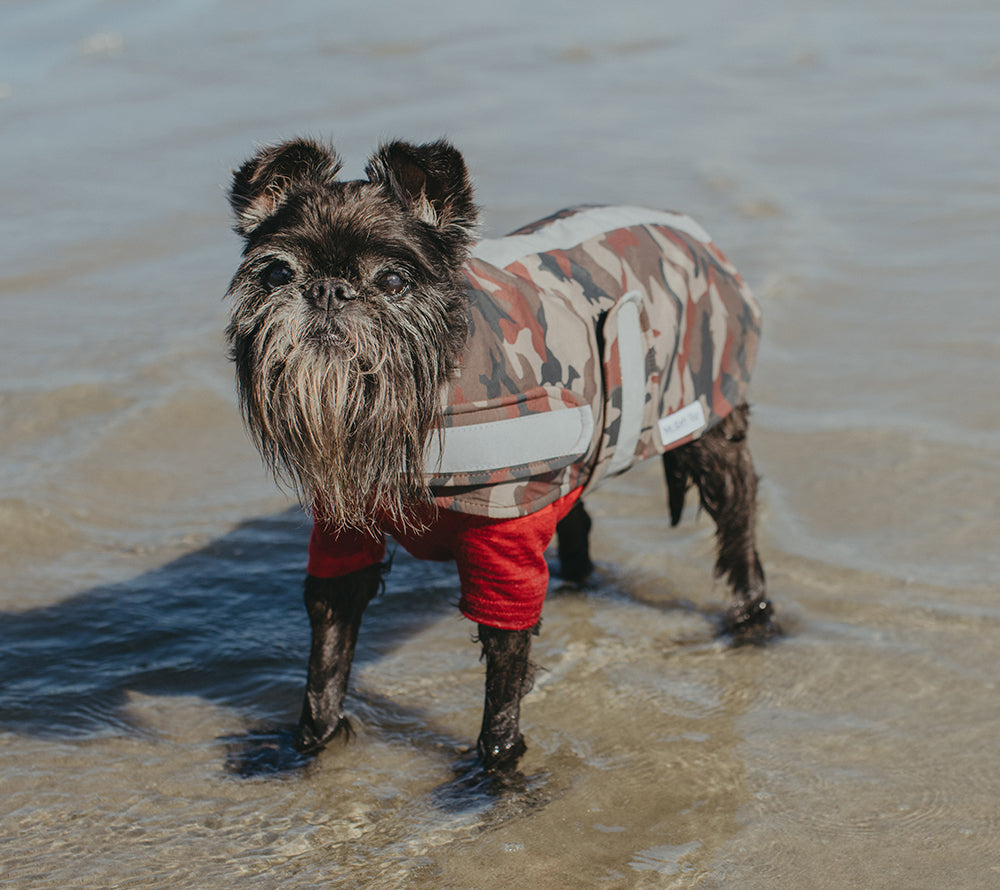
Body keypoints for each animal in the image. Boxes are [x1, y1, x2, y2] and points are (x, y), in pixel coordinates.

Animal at [225, 139, 772, 772]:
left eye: (392, 280)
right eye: (277, 272)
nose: (328, 290)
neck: (417, 407)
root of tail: (692, 231)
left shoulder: (505, 542)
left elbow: (503, 681)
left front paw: (498, 773)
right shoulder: (342, 539)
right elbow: (326, 661)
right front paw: (308, 746)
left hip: (710, 431)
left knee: (740, 526)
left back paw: (755, 621)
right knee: (579, 516)